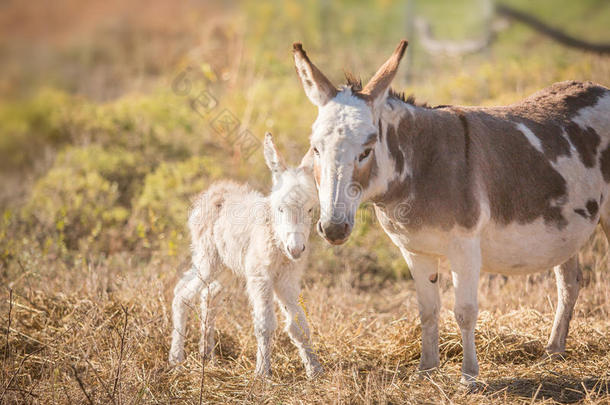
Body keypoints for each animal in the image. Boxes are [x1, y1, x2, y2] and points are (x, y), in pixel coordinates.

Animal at [165, 134, 318, 378]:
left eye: (311, 209)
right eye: (280, 209)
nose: (295, 249)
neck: (276, 241)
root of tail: (216, 189)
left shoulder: (287, 279)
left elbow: (299, 325)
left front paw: (315, 370)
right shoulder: (260, 277)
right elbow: (265, 324)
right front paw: (262, 373)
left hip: (226, 266)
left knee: (209, 295)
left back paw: (207, 355)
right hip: (208, 259)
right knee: (182, 294)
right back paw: (176, 360)